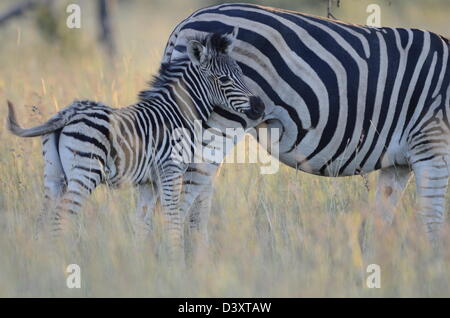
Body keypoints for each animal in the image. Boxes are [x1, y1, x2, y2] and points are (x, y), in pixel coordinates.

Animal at [7, 29, 266, 258]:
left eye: (241, 73)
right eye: (223, 79)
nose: (259, 106)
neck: (177, 112)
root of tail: (69, 113)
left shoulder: (148, 182)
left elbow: (142, 223)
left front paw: (143, 262)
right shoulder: (170, 170)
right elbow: (172, 217)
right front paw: (176, 263)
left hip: (54, 176)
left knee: (43, 220)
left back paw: (45, 260)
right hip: (85, 173)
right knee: (61, 219)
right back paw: (61, 259)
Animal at [160, 3, 448, 251]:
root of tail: (186, 21)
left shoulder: (398, 164)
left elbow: (382, 220)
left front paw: (377, 263)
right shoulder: (432, 147)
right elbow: (433, 224)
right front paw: (431, 267)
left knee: (198, 192)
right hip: (219, 121)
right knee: (185, 193)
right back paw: (182, 262)